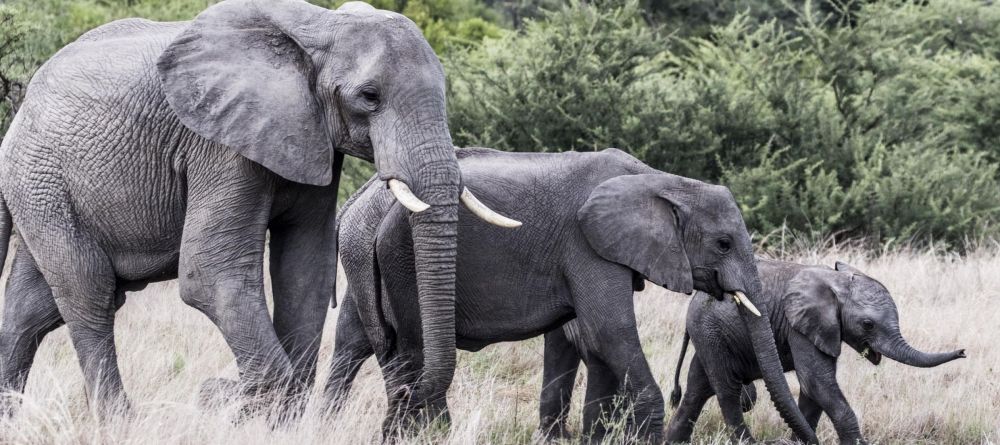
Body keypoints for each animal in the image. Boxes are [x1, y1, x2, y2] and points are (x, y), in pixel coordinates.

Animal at [0, 0, 516, 416]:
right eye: (369, 97)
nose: (413, 396)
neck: (322, 28)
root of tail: (18, 117)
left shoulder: (311, 137)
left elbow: (305, 270)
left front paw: (263, 412)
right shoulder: (218, 144)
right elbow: (210, 273)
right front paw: (237, 401)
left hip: (42, 188)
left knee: (33, 308)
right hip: (44, 177)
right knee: (88, 292)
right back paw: (119, 422)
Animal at [328, 147, 820, 442]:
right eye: (723, 244)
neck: (661, 181)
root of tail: (361, 202)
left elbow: (578, 341)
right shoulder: (586, 246)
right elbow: (609, 332)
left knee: (357, 343)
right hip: (403, 259)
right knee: (409, 352)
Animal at [664, 258, 968, 442]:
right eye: (868, 324)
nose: (963, 352)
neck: (837, 282)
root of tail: (695, 299)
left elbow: (812, 392)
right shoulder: (801, 325)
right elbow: (816, 381)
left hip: (710, 333)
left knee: (698, 388)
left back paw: (672, 440)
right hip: (711, 330)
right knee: (726, 389)